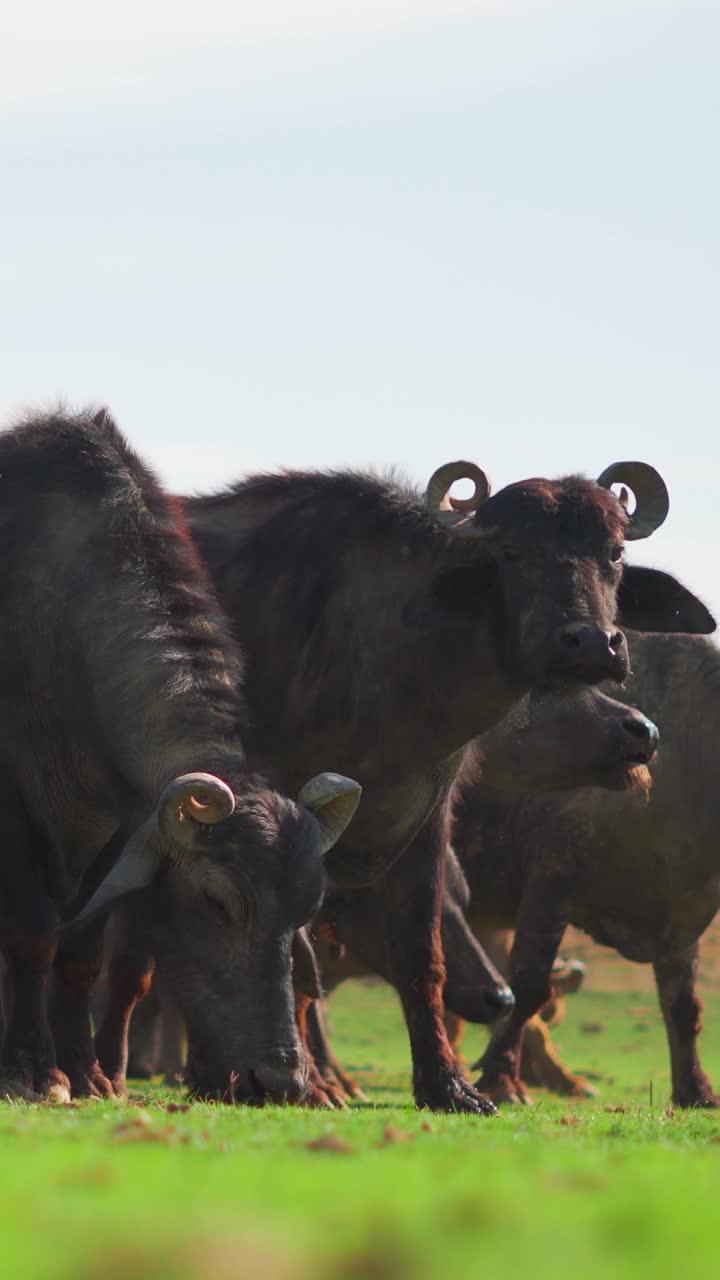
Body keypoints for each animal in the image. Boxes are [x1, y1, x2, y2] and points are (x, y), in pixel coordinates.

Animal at [0, 407, 358, 1100]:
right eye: (217, 901)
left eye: (308, 906)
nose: (279, 1078)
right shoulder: (14, 810)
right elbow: (31, 936)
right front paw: (34, 1071)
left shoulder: (116, 825)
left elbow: (80, 949)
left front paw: (85, 1071)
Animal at [450, 629, 720, 1111]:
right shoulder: (553, 880)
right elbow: (529, 985)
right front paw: (500, 1075)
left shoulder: (683, 908)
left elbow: (684, 1006)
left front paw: (696, 1090)